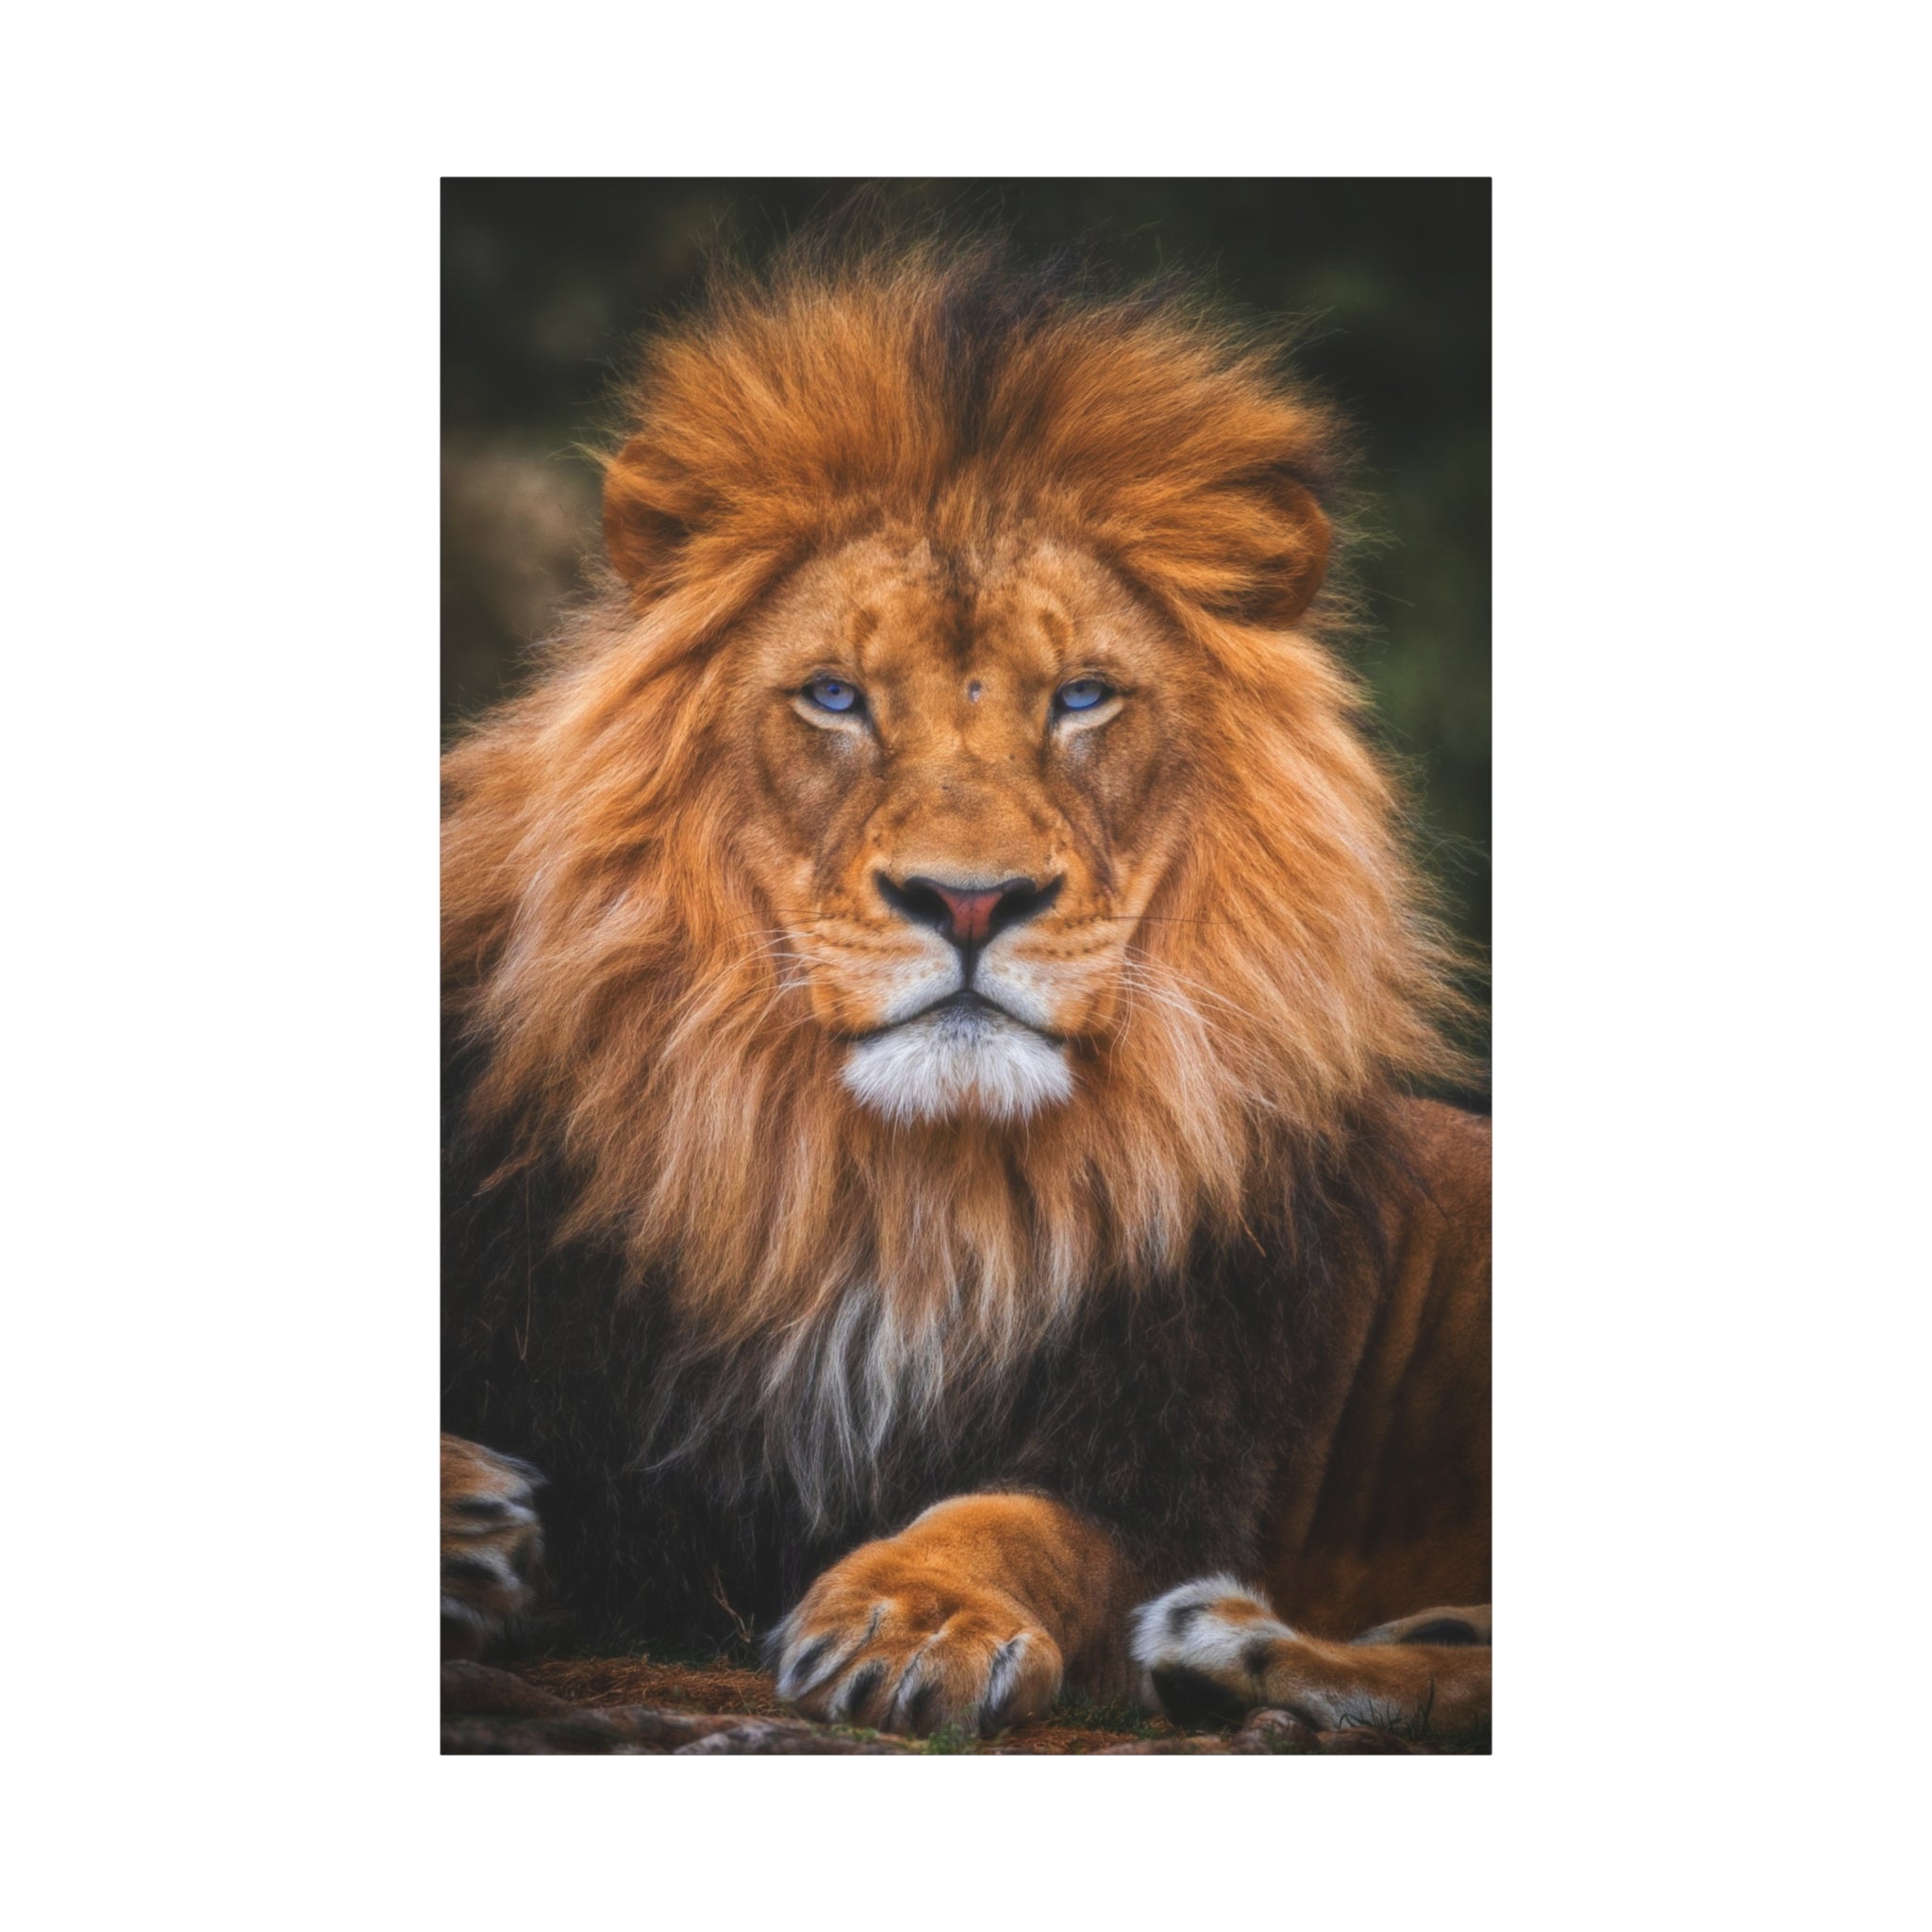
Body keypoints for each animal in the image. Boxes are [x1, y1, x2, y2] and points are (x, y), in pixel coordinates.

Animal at [440, 231, 1491, 1744]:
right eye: (833, 696)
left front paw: (911, 1614)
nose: (972, 900)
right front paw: (465, 1519)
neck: (896, 1196)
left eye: (1082, 697)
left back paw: (1236, 1645)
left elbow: (1018, 1521)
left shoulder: (1167, 1459)